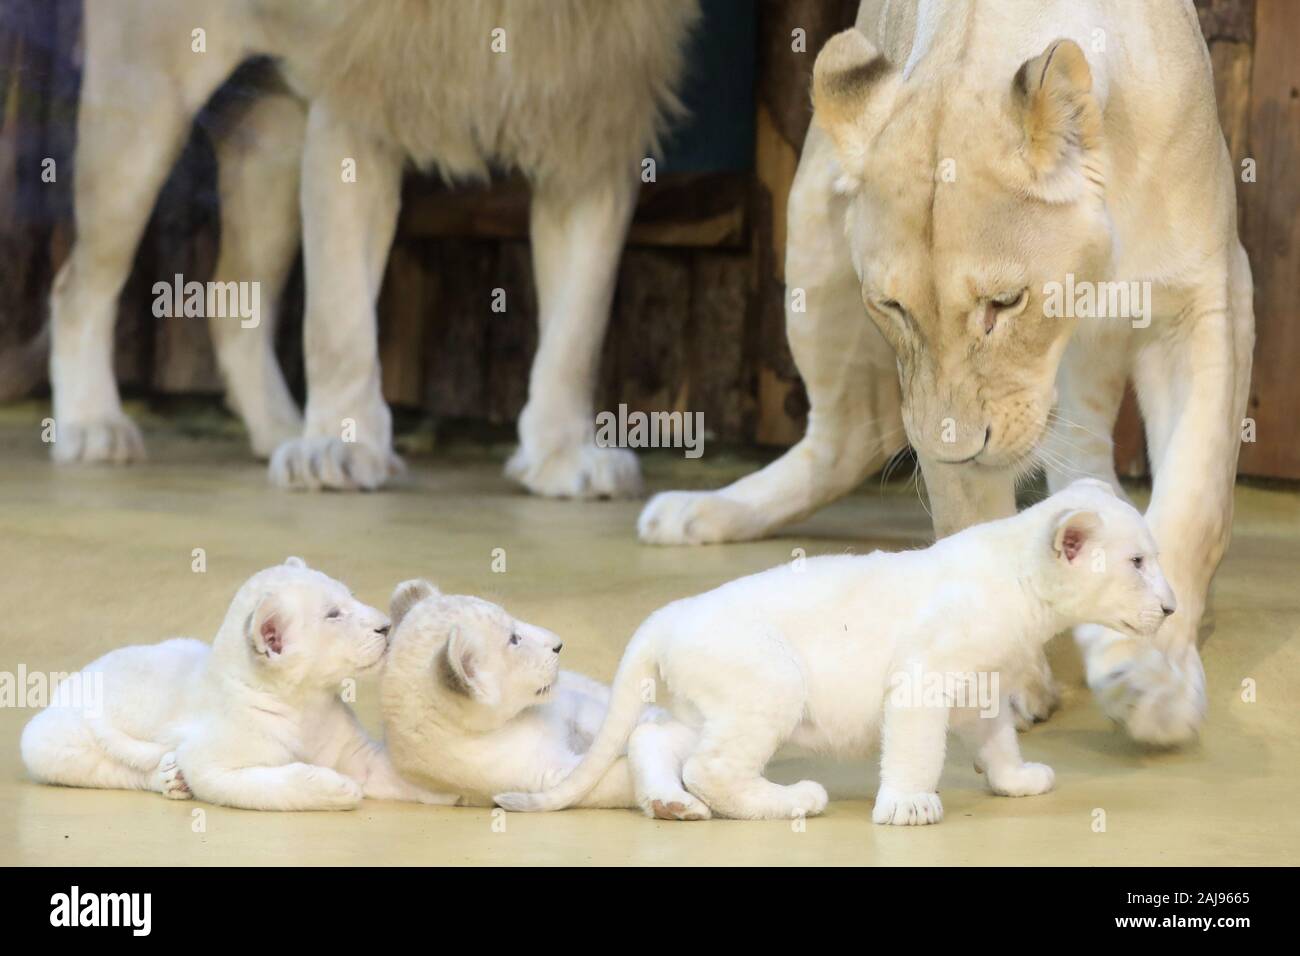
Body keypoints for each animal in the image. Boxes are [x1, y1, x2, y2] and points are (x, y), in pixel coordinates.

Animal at [638, 0, 1253, 748]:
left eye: (1005, 303)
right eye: (893, 306)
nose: (951, 447)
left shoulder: (1206, 298)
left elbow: (1194, 501)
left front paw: (1154, 679)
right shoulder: (929, 397)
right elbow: (968, 519)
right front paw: (1003, 678)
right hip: (812, 229)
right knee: (847, 438)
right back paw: (701, 511)